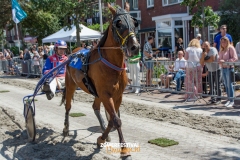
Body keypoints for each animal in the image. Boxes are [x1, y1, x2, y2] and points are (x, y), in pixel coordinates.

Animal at [60, 2, 139, 160]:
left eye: (135, 22)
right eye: (119, 24)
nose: (135, 47)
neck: (111, 64)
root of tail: (74, 51)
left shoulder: (117, 95)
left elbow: (112, 120)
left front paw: (101, 138)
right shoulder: (105, 94)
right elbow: (116, 120)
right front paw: (124, 150)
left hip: (96, 92)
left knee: (95, 107)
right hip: (71, 84)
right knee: (68, 106)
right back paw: (66, 128)